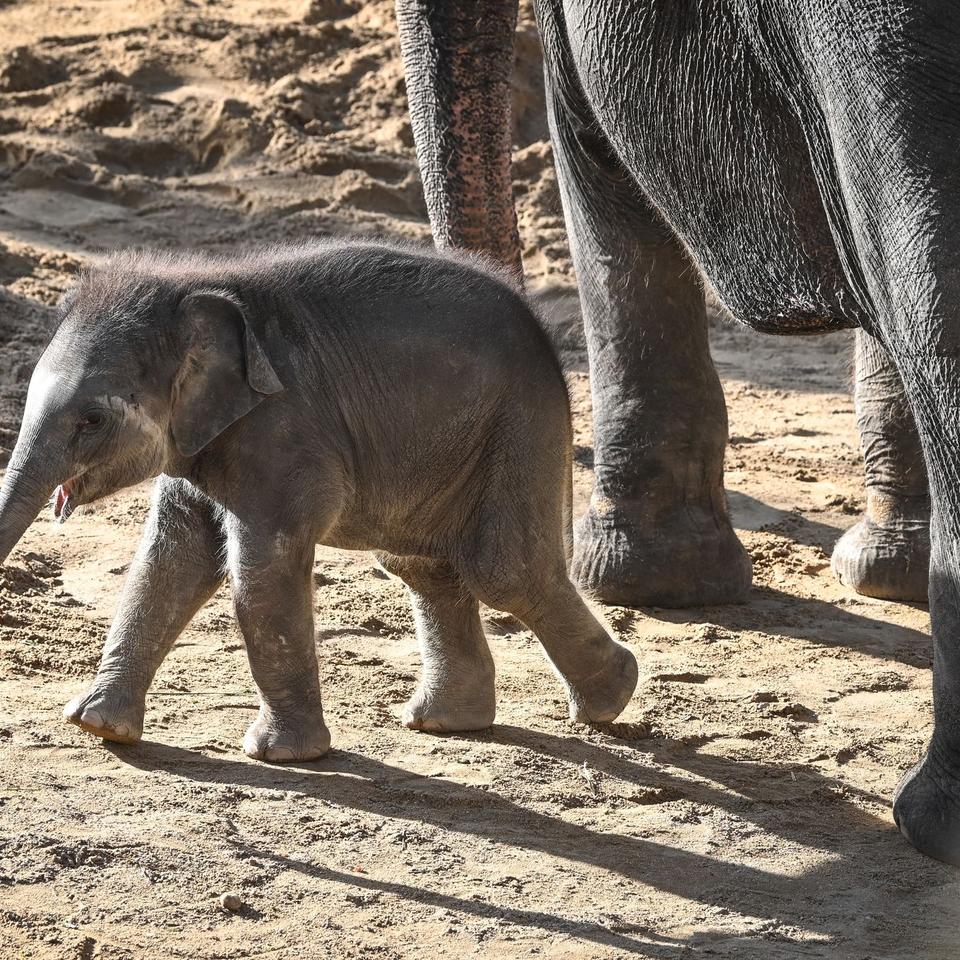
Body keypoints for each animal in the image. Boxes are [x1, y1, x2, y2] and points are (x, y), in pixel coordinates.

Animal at [0, 244, 636, 760]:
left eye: (92, 419)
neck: (195, 283)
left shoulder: (285, 434)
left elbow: (261, 572)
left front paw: (280, 755)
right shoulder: (200, 441)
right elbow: (168, 561)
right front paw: (96, 726)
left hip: (519, 425)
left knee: (504, 572)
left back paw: (611, 698)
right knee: (423, 567)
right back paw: (445, 722)